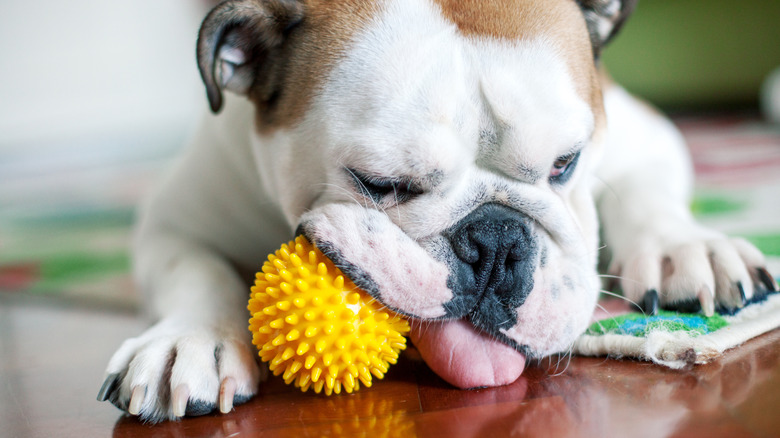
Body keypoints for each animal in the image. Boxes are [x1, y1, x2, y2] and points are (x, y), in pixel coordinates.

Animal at [96, 0, 772, 424]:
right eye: (380, 183)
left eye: (565, 163)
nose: (497, 241)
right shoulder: (173, 220)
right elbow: (196, 270)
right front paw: (188, 340)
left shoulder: (643, 134)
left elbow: (647, 195)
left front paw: (688, 248)